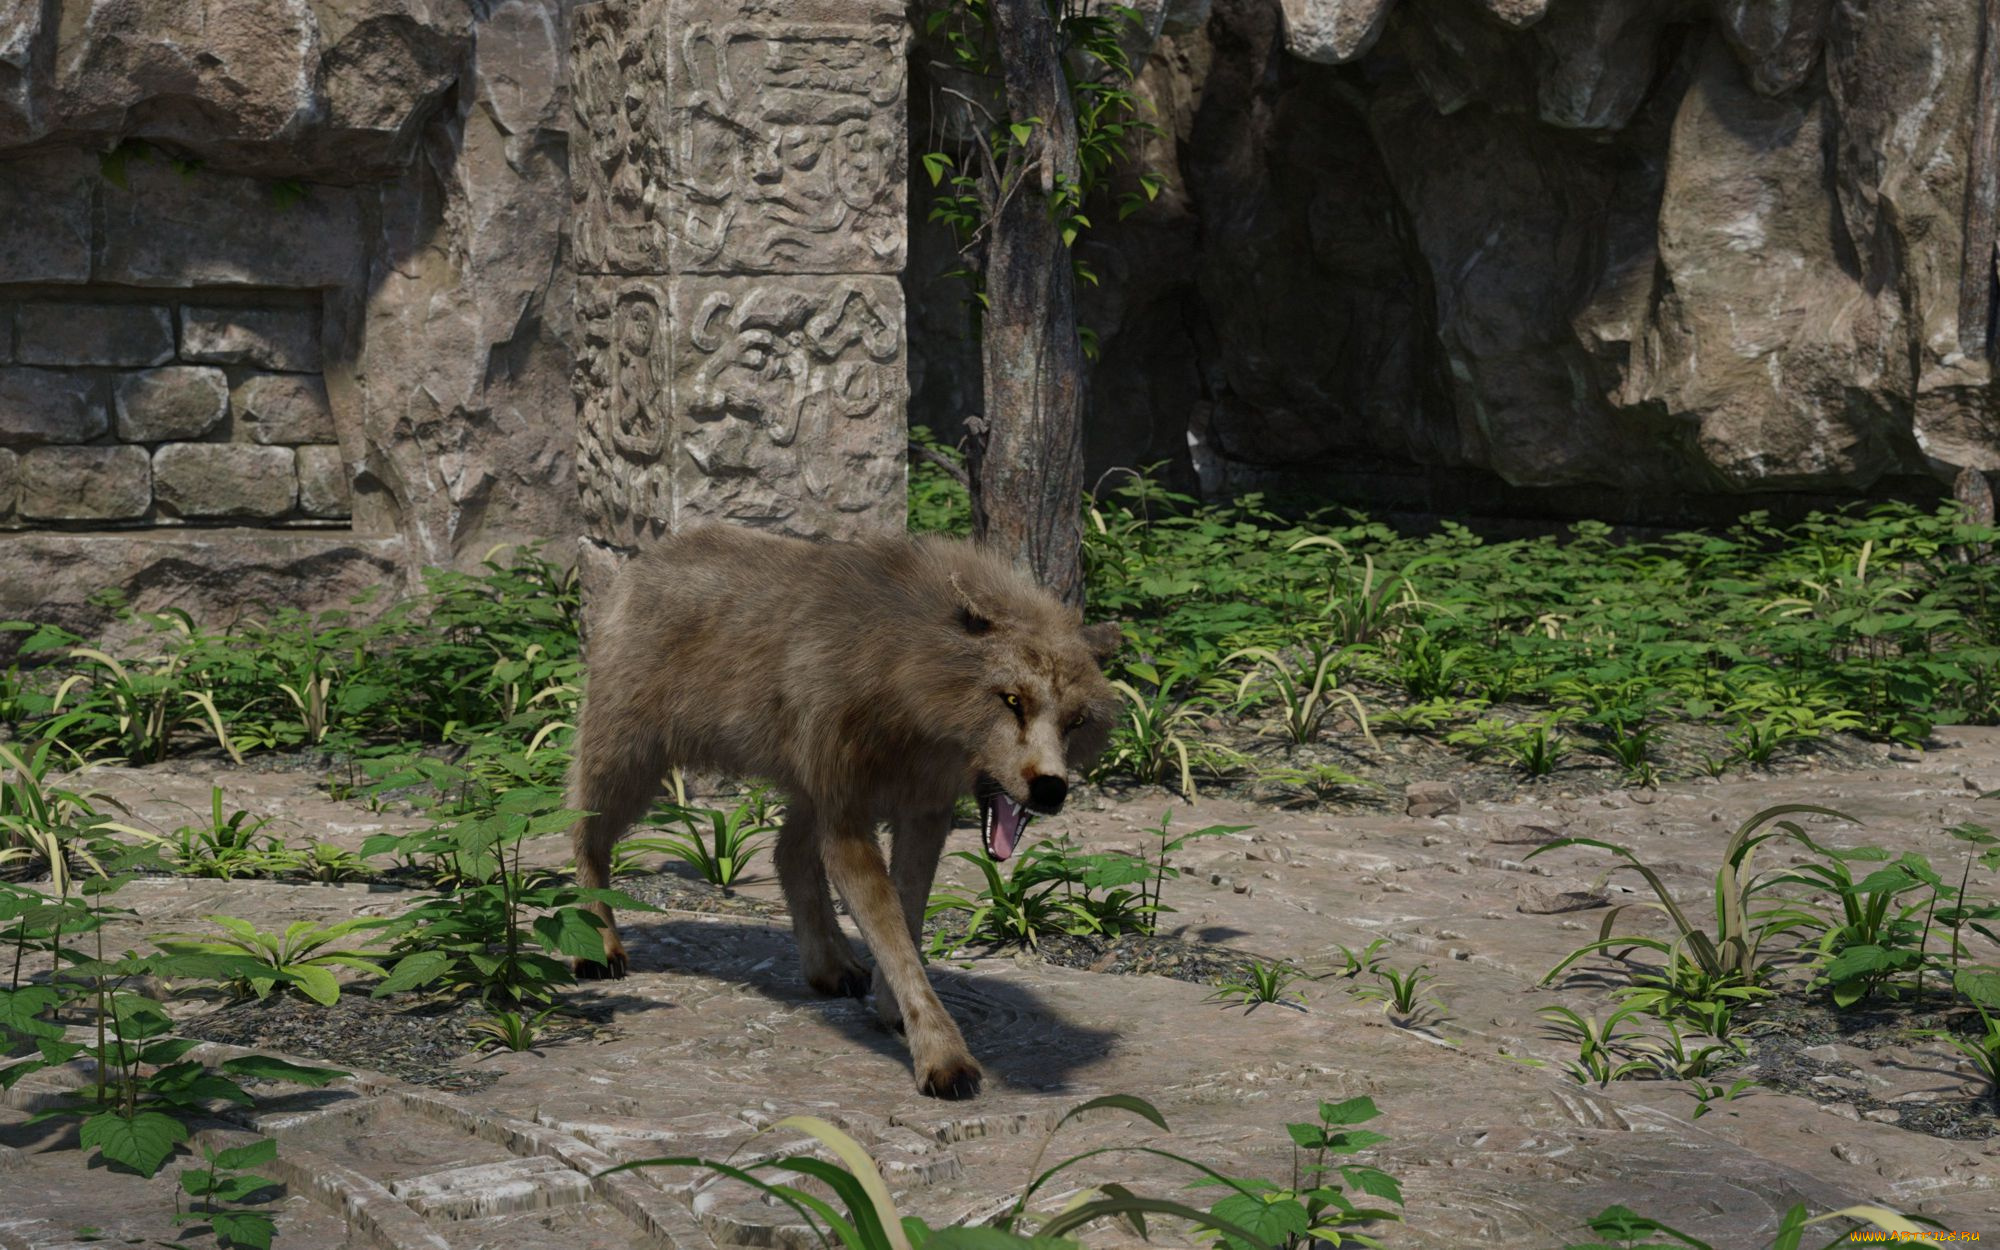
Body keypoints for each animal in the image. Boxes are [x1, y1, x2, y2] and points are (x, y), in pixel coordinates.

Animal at [568, 525, 1120, 1099]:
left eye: (1076, 721)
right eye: (1012, 700)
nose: (1051, 789)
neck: (903, 673)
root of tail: (642, 561)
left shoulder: (923, 813)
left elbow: (908, 917)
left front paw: (891, 1005)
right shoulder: (849, 819)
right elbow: (892, 931)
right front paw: (943, 1058)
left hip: (800, 793)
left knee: (786, 853)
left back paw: (830, 967)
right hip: (630, 762)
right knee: (582, 834)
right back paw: (597, 946)